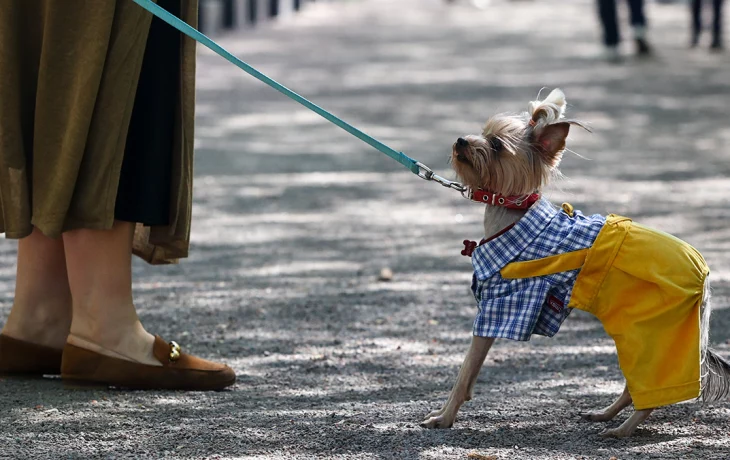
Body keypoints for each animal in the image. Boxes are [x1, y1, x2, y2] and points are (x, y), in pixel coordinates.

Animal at [420, 88, 728, 436]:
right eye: (481, 133)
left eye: (496, 145)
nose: (461, 140)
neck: (510, 214)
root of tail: (703, 273)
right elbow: (467, 374)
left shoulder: (499, 308)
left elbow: (464, 373)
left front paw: (444, 418)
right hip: (639, 333)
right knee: (635, 386)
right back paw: (606, 415)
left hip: (655, 332)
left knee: (652, 392)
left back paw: (622, 430)